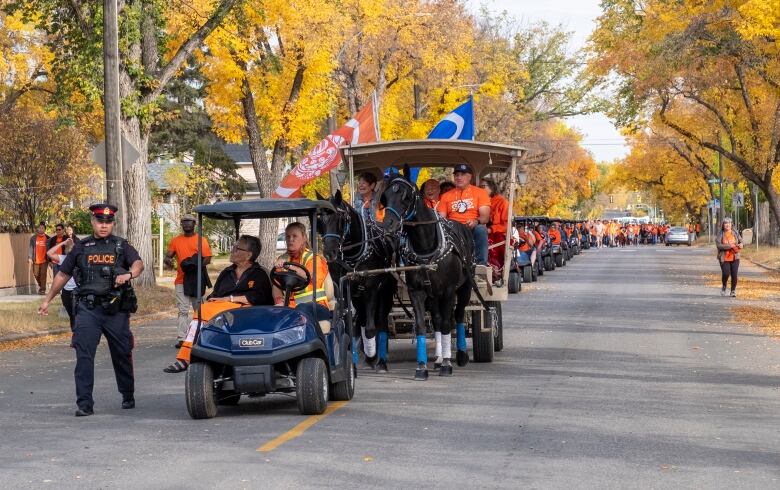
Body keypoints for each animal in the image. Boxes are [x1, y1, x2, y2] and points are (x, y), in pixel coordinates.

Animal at [316, 190, 396, 372]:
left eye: (339, 218)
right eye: (320, 219)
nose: (329, 252)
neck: (353, 254)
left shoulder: (371, 289)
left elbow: (371, 329)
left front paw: (372, 357)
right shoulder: (344, 289)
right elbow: (349, 325)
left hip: (385, 293)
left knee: (380, 322)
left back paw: (380, 360)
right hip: (358, 297)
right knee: (361, 319)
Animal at [380, 168, 472, 378]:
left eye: (406, 196)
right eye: (385, 197)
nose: (389, 224)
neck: (426, 246)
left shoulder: (448, 291)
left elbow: (447, 323)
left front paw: (447, 364)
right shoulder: (417, 292)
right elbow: (423, 325)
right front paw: (422, 367)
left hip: (465, 288)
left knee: (458, 316)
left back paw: (460, 355)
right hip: (433, 295)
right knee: (436, 320)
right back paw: (437, 359)